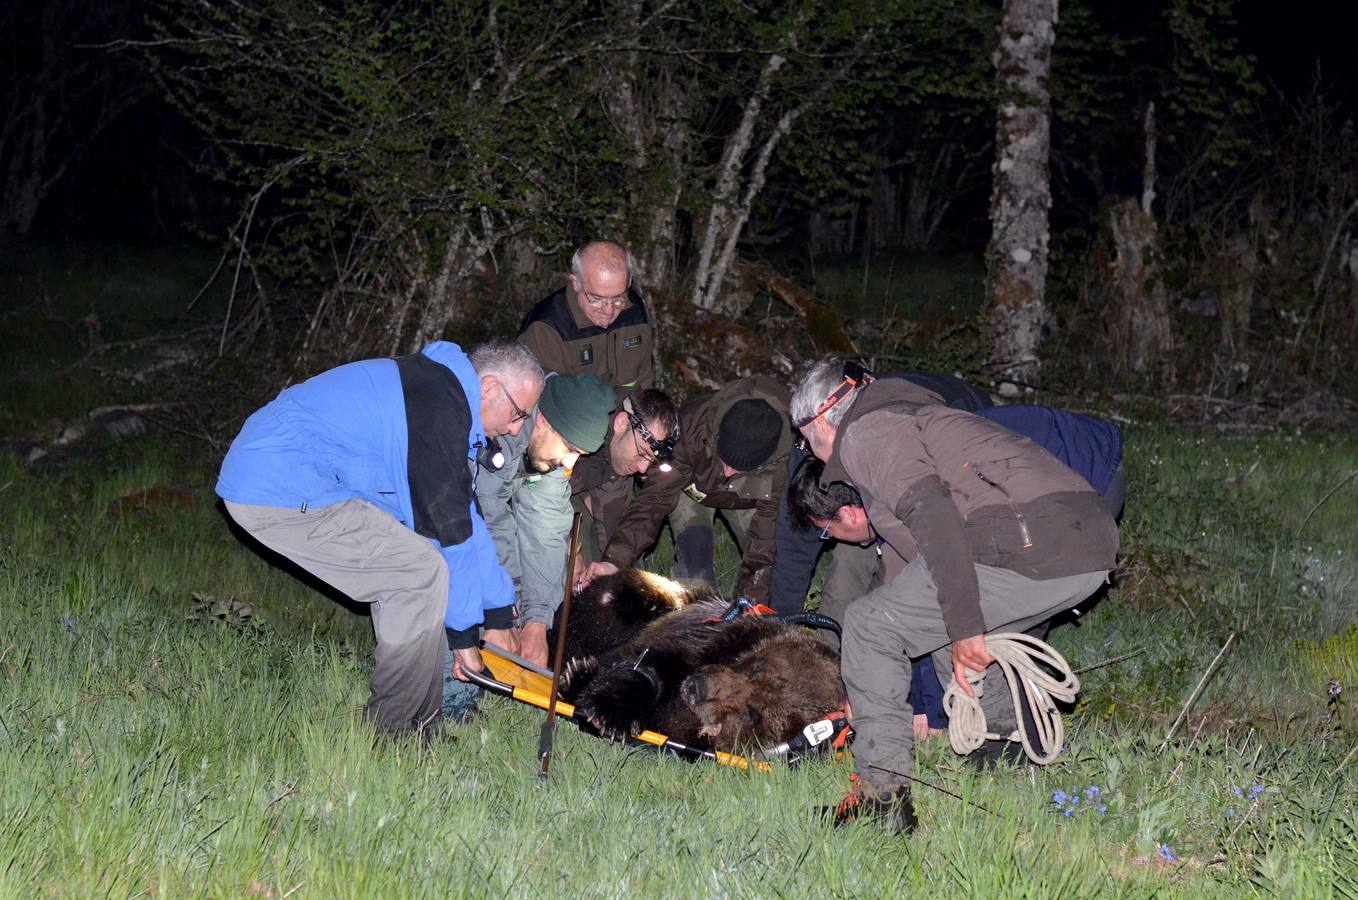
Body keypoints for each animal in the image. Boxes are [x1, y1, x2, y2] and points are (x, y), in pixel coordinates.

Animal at [554, 572, 847, 754]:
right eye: (756, 667)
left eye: (753, 712)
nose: (697, 689)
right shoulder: (709, 641)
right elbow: (647, 662)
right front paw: (613, 713)